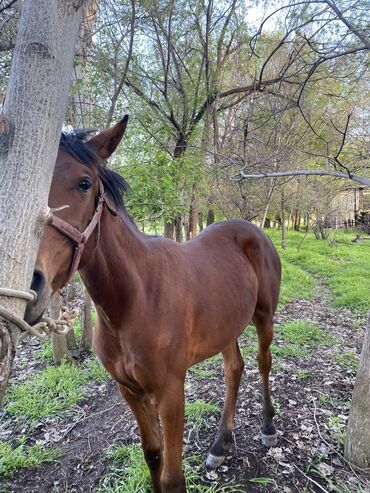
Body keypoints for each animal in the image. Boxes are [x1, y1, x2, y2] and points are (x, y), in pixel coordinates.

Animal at [25, 116, 280, 492]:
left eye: (84, 183)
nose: (32, 284)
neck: (135, 300)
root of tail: (253, 230)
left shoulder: (170, 393)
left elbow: (173, 476)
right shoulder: (130, 391)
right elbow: (153, 456)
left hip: (263, 318)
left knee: (264, 363)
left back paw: (268, 427)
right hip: (226, 327)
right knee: (234, 369)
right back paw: (221, 445)